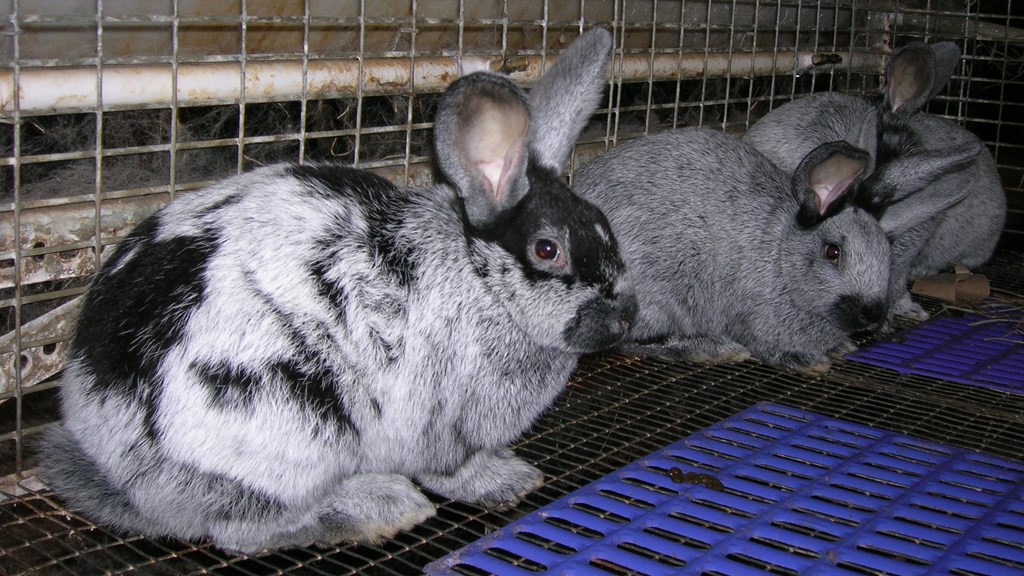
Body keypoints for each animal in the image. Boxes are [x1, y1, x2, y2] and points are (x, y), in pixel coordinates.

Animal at [38, 28, 637, 555]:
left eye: (606, 225)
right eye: (547, 250)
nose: (627, 316)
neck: (481, 280)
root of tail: (118, 463)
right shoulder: (440, 429)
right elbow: (454, 470)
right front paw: (509, 480)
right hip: (294, 429)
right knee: (244, 529)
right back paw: (385, 507)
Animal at [572, 127, 890, 373]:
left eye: (887, 246)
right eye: (832, 252)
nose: (873, 314)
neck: (780, 254)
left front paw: (842, 347)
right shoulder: (757, 317)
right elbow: (768, 345)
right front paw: (807, 360)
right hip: (653, 302)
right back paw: (715, 348)